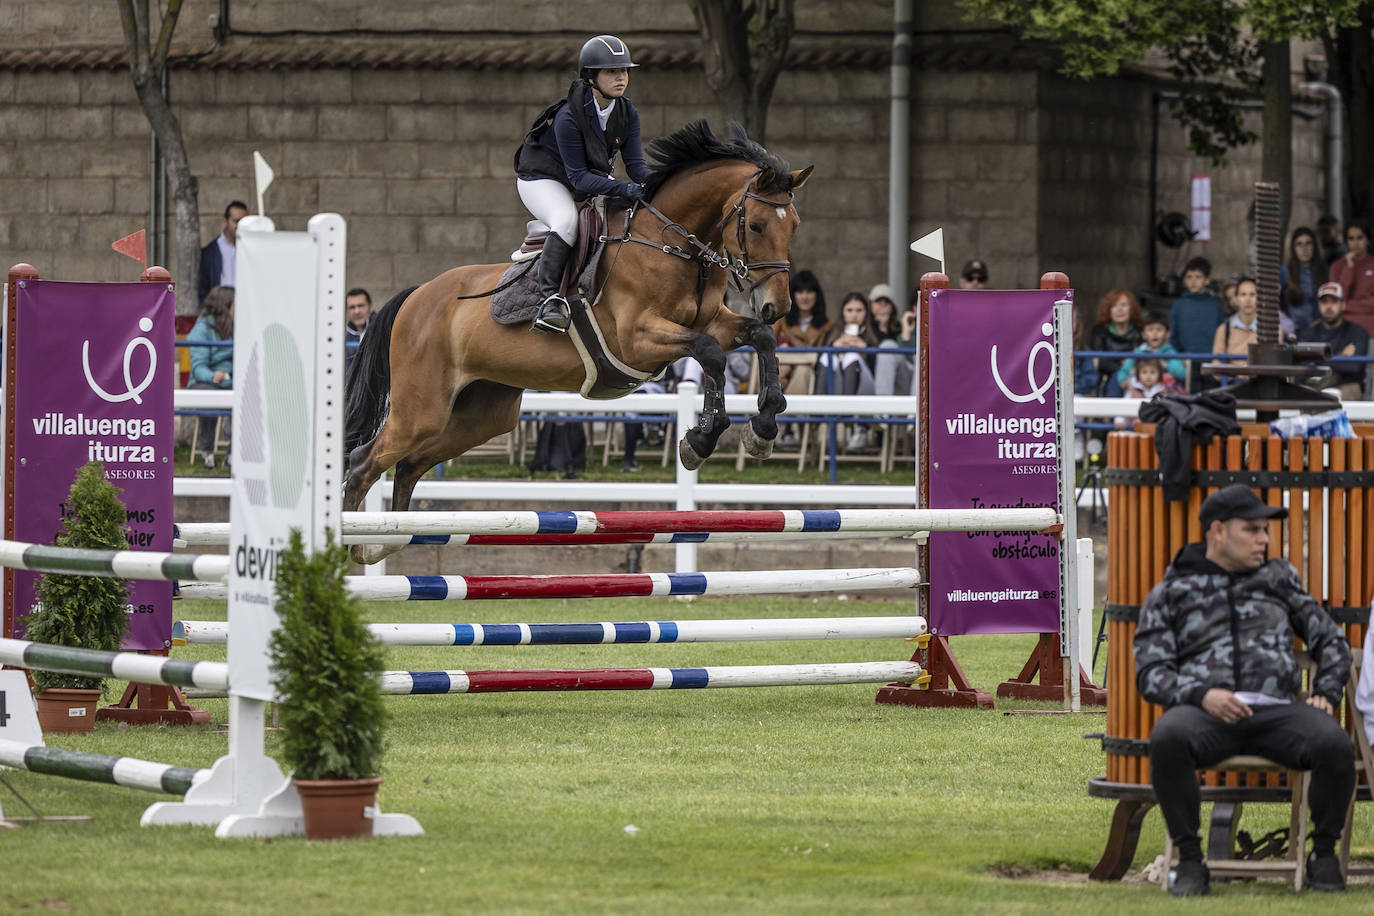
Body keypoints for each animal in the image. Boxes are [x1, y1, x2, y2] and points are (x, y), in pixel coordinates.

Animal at [343, 120, 807, 565]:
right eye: (757, 225)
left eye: (795, 226)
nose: (778, 306)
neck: (671, 243)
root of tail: (415, 297)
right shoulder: (636, 339)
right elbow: (710, 354)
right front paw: (700, 441)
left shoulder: (713, 322)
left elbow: (759, 338)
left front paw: (763, 428)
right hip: (422, 410)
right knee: (365, 461)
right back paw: (351, 545)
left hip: (482, 416)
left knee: (407, 465)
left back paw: (384, 543)